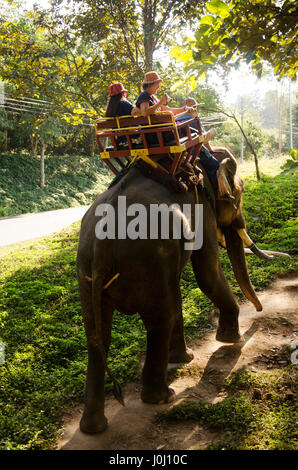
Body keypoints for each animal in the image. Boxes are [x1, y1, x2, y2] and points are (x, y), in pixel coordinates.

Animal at [77, 148, 272, 434]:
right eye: (240, 194)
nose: (259, 310)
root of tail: (103, 241)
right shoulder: (202, 209)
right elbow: (208, 274)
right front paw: (229, 340)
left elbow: (180, 285)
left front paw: (184, 358)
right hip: (148, 257)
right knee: (161, 317)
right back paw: (162, 397)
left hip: (86, 269)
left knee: (97, 334)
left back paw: (93, 428)